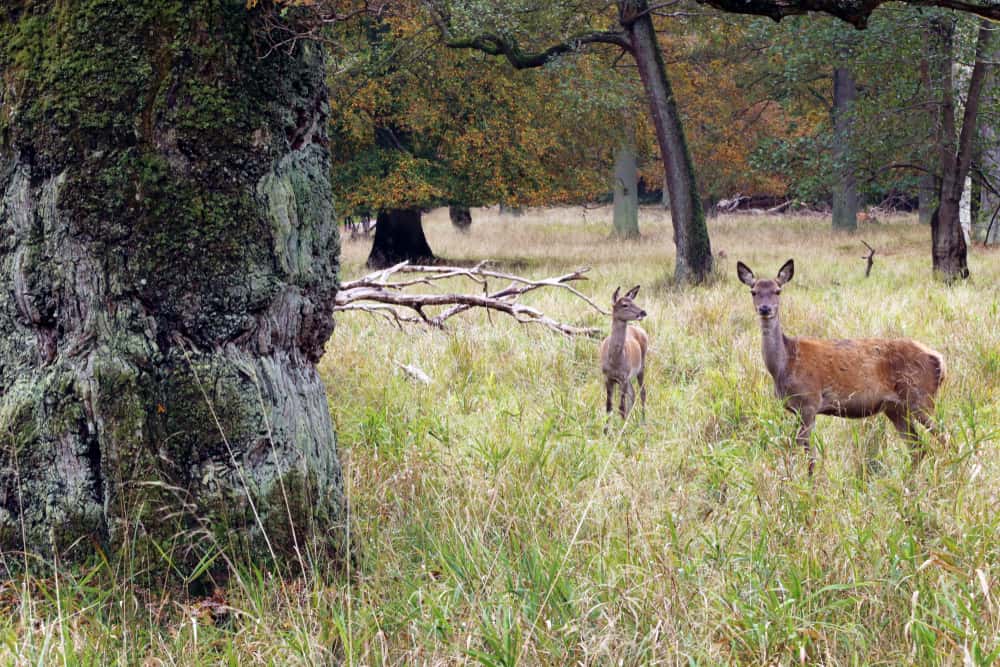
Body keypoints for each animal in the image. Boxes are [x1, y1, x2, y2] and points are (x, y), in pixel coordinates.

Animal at [601, 285, 649, 424]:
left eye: (633, 301)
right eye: (624, 304)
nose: (643, 312)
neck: (615, 361)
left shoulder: (623, 377)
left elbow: (621, 407)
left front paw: (621, 428)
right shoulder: (608, 377)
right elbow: (608, 407)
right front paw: (606, 430)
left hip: (641, 366)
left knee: (642, 392)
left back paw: (643, 421)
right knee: (632, 393)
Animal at [737, 259, 945, 474]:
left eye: (778, 291)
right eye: (753, 291)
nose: (765, 309)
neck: (784, 365)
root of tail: (939, 359)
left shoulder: (809, 402)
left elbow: (809, 456)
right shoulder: (795, 409)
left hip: (921, 398)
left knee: (945, 437)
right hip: (896, 408)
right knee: (918, 448)